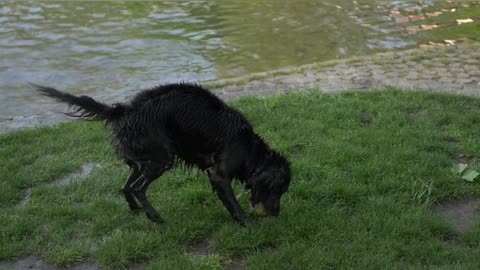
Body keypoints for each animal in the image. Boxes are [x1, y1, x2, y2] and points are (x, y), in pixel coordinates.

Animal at [35, 83, 290, 226]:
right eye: (277, 189)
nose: (277, 213)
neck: (249, 149)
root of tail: (124, 110)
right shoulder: (218, 173)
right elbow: (233, 203)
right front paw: (245, 222)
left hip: (140, 160)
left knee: (126, 186)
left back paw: (137, 211)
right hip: (162, 157)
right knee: (138, 188)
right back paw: (154, 217)